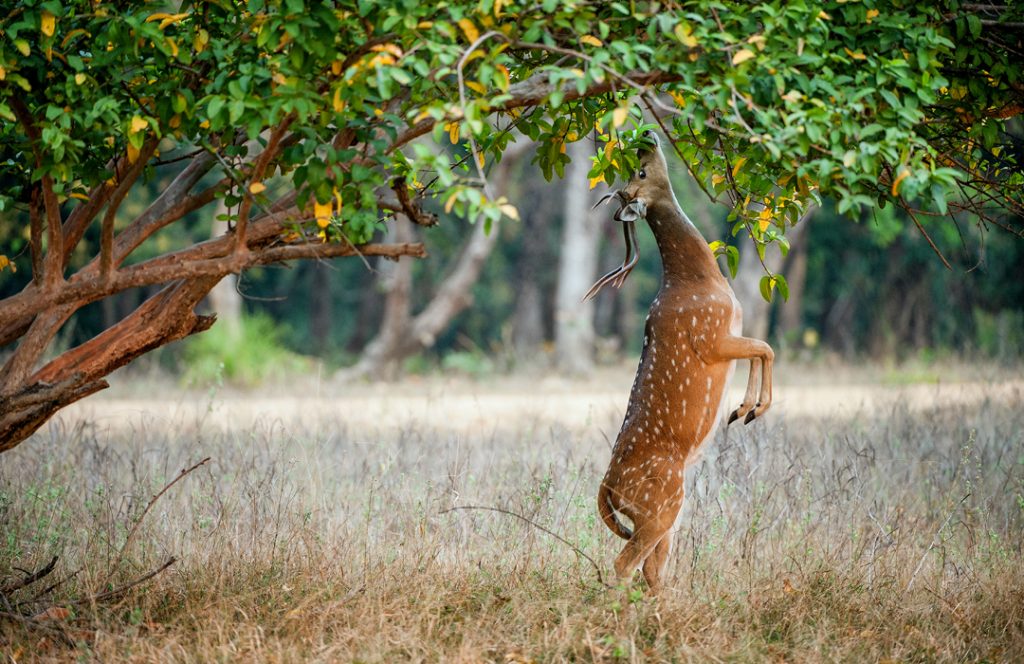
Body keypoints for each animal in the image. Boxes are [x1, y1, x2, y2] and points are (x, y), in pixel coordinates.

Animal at [589, 129, 770, 590]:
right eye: (641, 171)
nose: (646, 136)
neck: (700, 281)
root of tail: (608, 488)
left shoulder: (728, 331)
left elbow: (761, 348)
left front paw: (742, 409)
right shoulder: (710, 335)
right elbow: (765, 346)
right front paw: (750, 409)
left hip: (661, 514)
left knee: (651, 570)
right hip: (662, 502)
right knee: (623, 565)